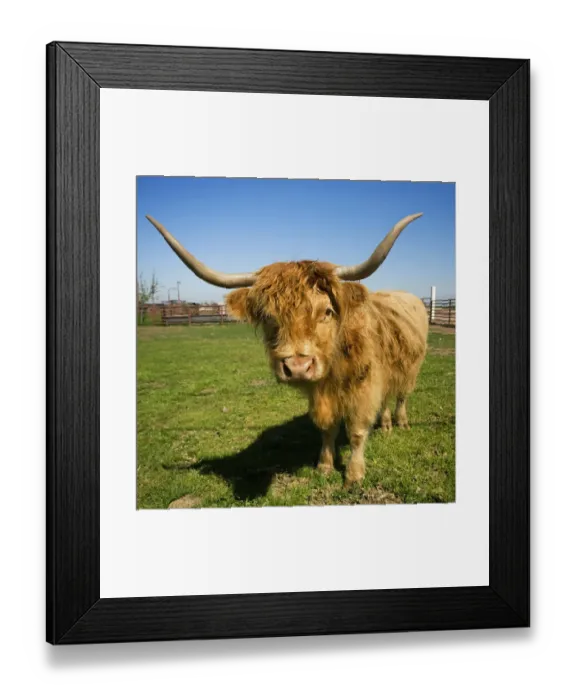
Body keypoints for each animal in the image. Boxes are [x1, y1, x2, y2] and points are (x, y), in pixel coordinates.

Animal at [146, 213, 429, 486]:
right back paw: (387, 425)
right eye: (268, 316)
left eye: (327, 311)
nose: (297, 367)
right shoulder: (322, 393)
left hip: (410, 369)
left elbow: (357, 431)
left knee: (401, 396)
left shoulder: (365, 387)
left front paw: (354, 474)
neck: (333, 367)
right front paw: (324, 465)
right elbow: (327, 428)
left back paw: (401, 423)